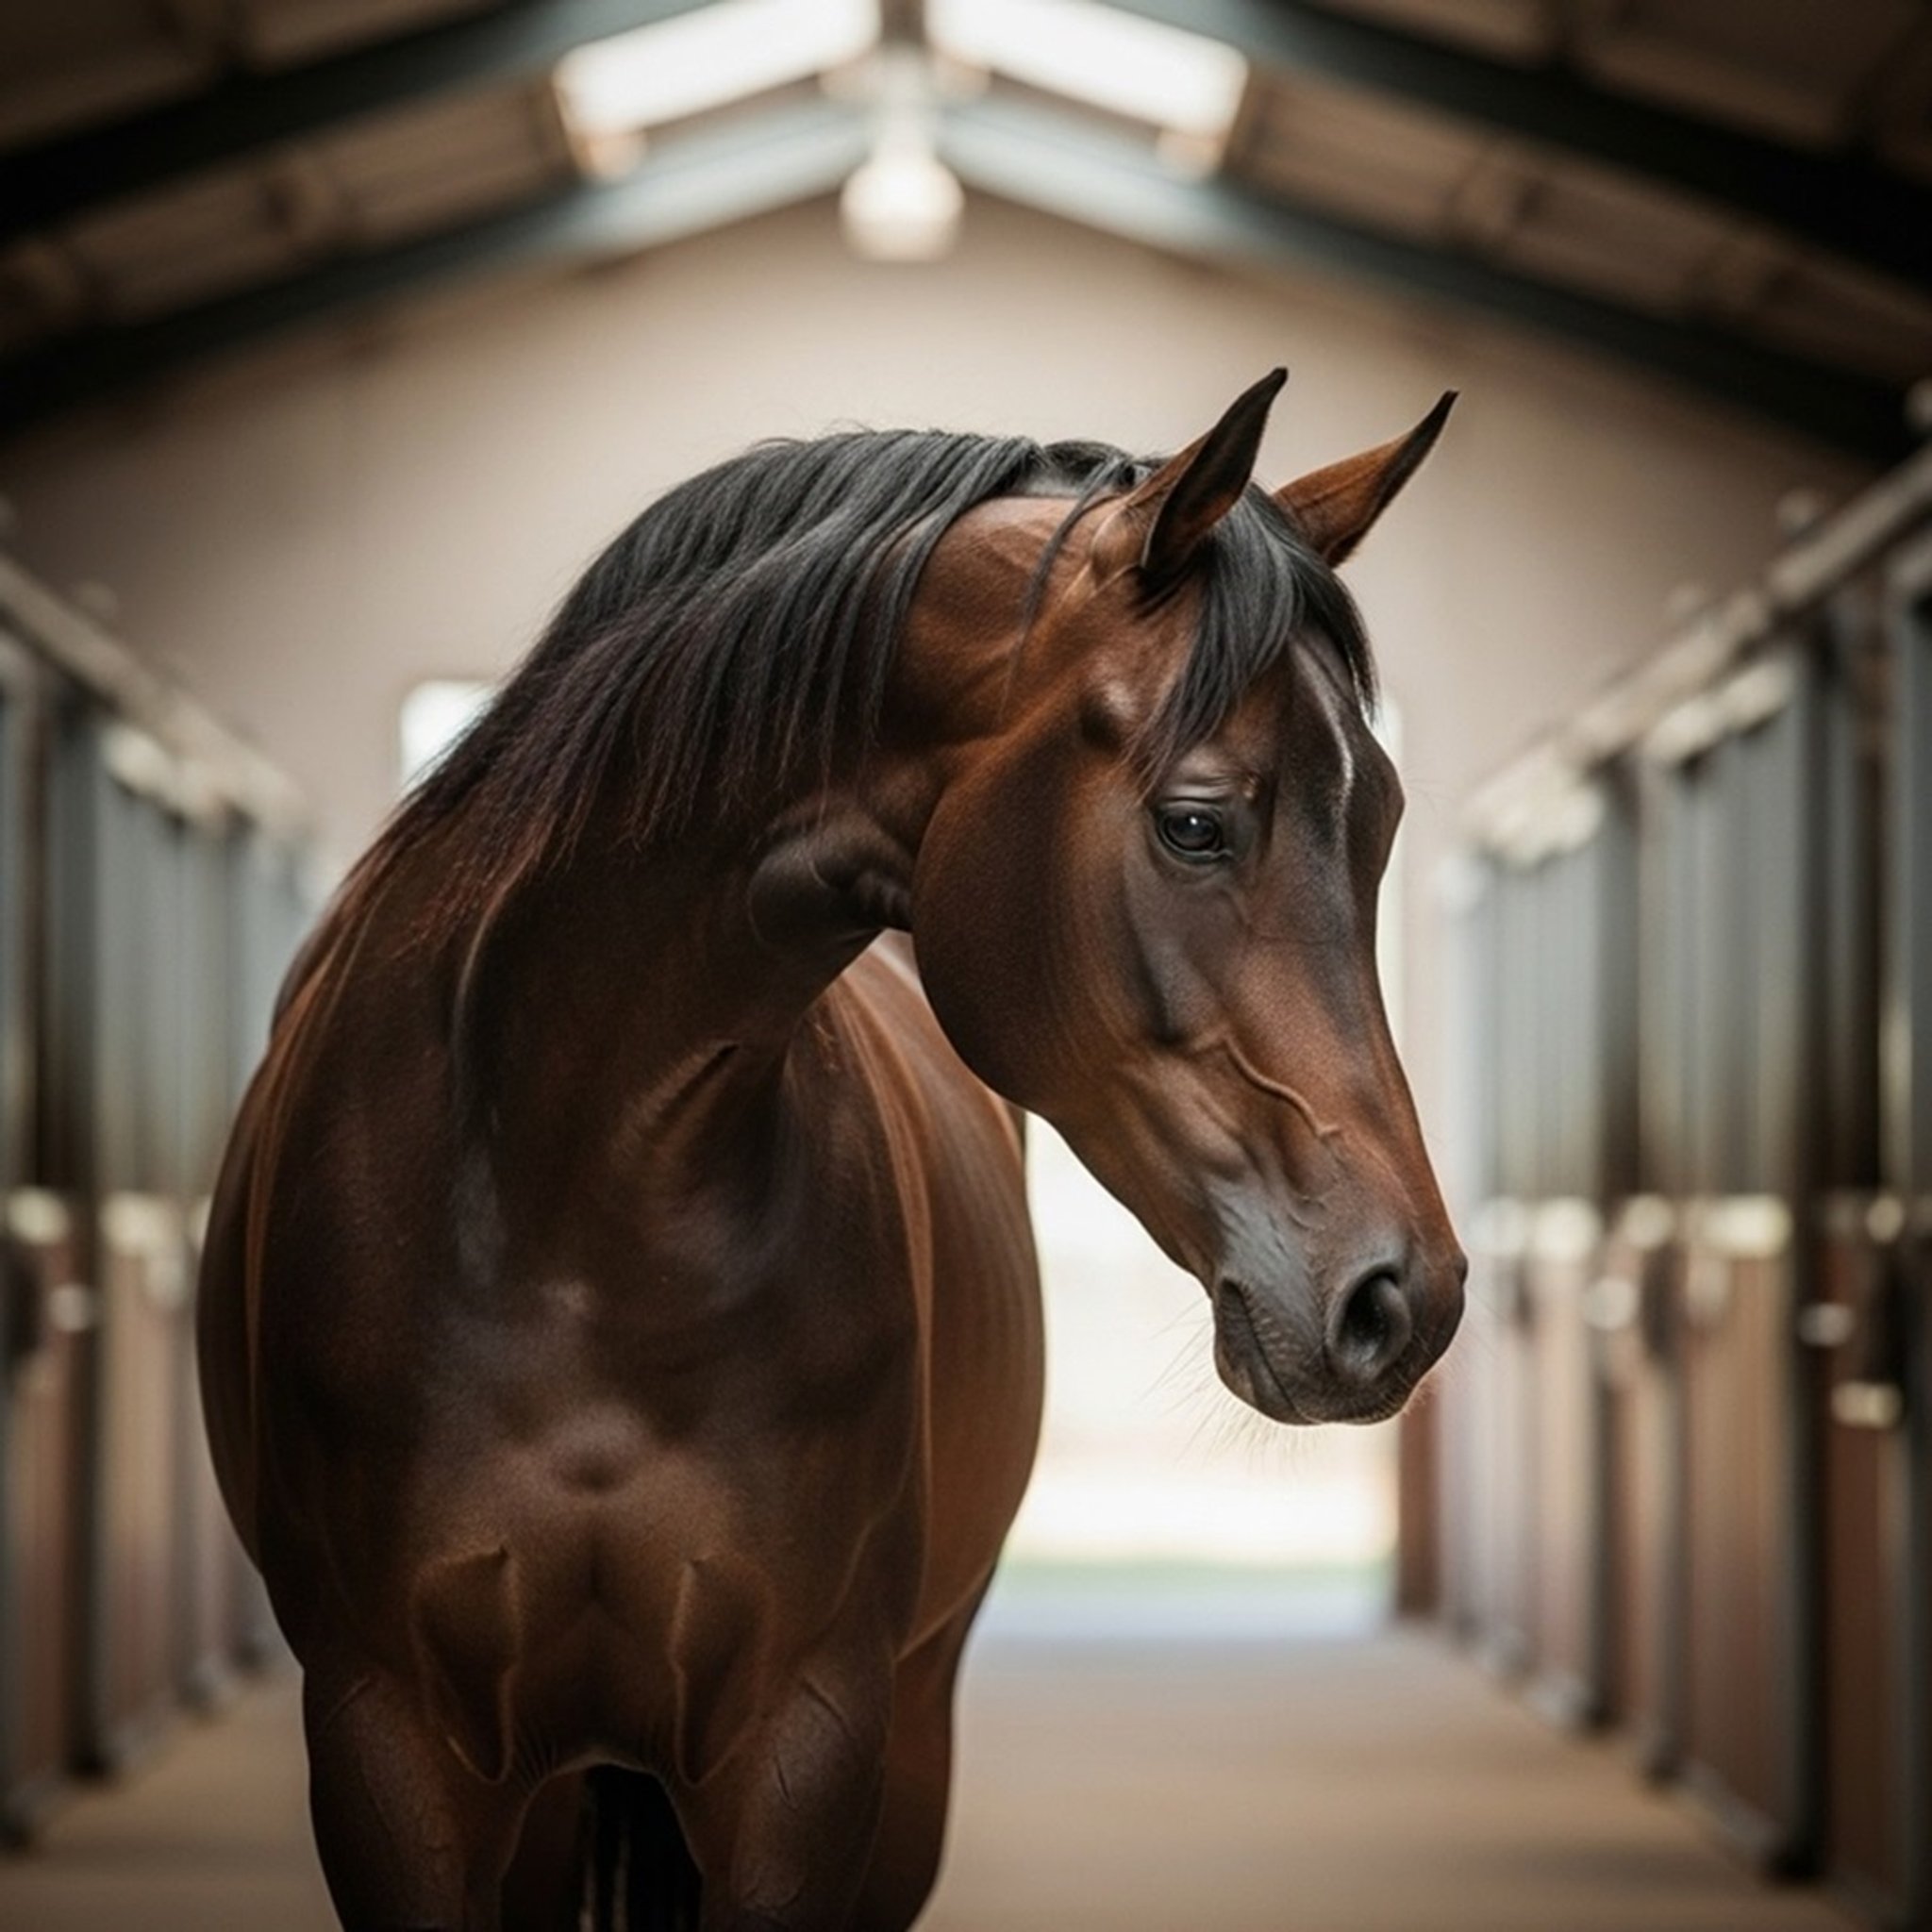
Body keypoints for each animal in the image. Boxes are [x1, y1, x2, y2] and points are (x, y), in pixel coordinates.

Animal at [197, 368, 1466, 1931]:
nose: (1405, 1297)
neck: (563, 1192)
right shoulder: (390, 1747)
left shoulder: (809, 1751)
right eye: (1195, 823)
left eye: (1383, 822)